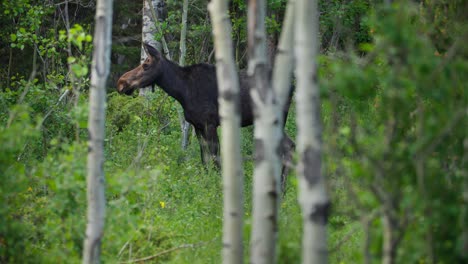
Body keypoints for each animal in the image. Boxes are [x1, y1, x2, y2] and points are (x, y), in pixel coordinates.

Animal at [116, 43, 292, 185]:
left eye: (146, 65)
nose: (121, 83)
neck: (182, 92)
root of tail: (293, 85)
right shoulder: (198, 126)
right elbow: (204, 158)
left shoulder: (210, 123)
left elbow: (215, 157)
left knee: (287, 147)